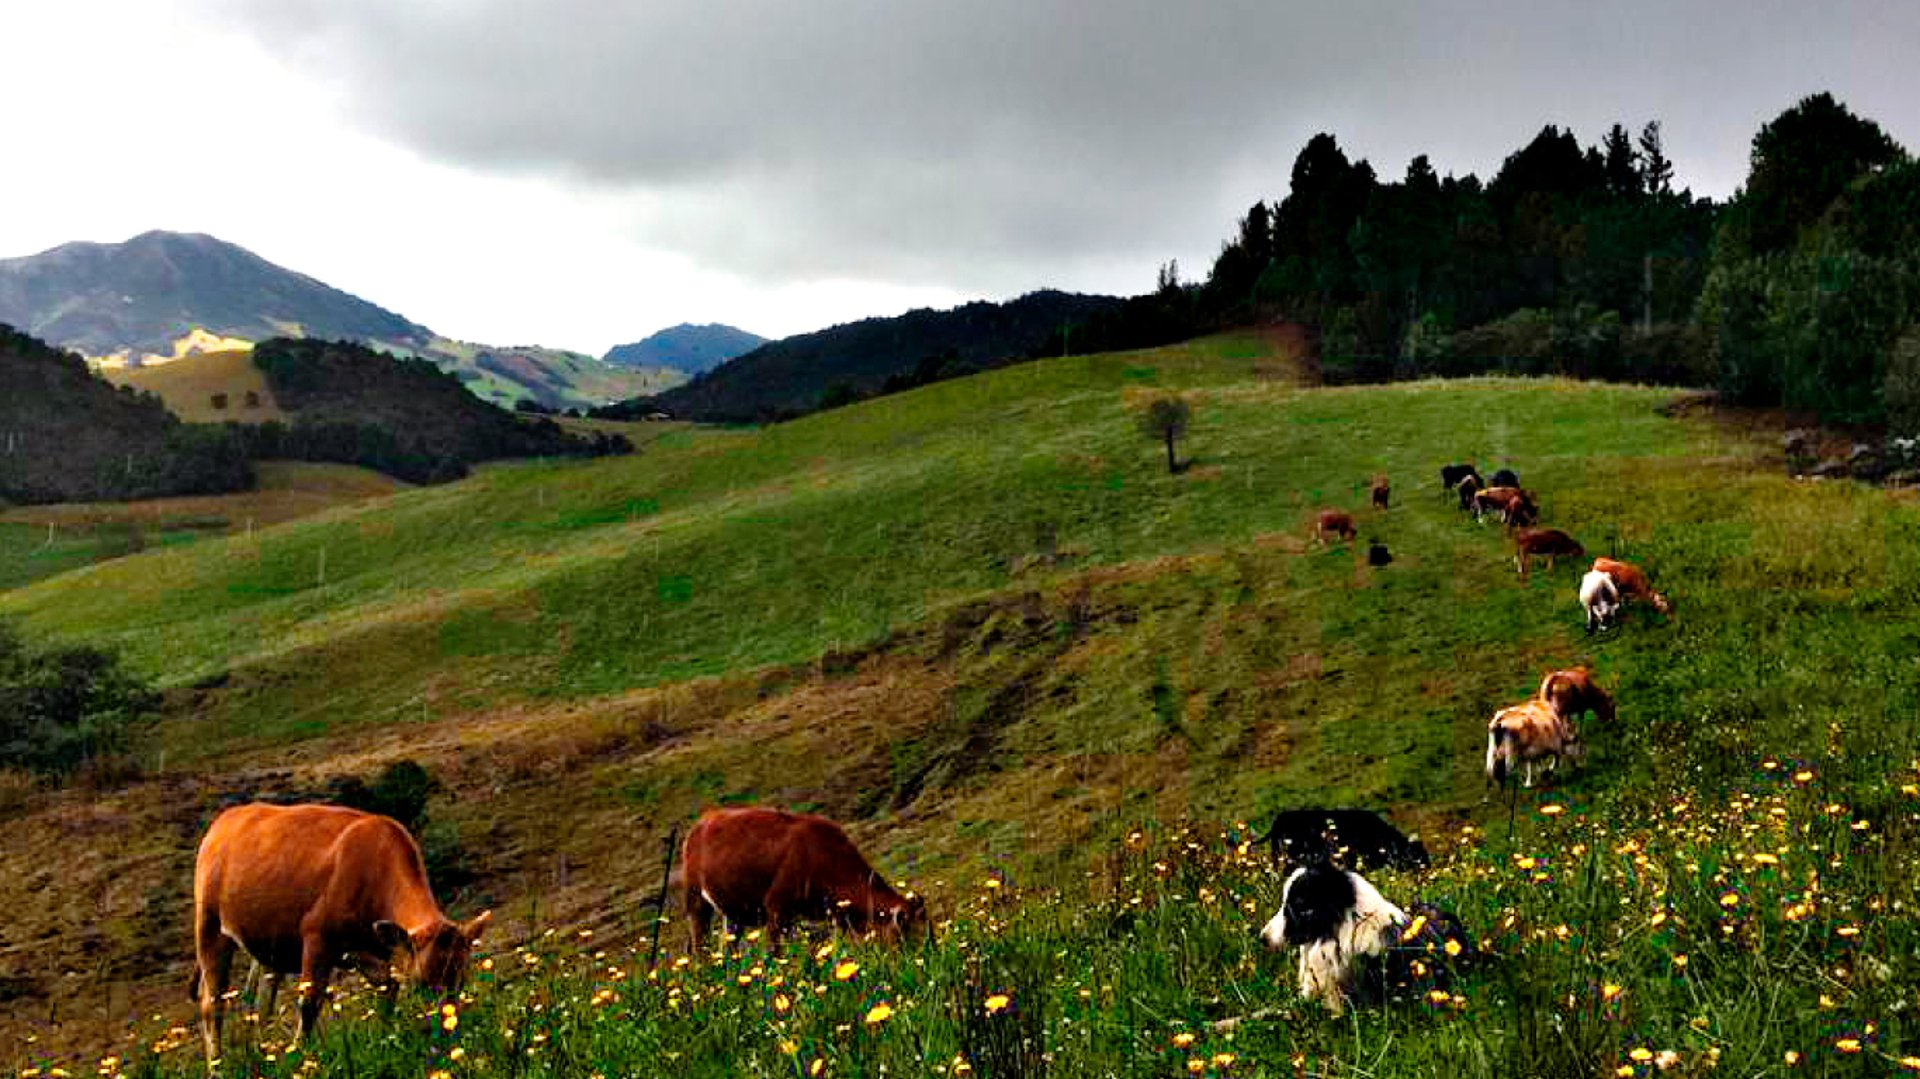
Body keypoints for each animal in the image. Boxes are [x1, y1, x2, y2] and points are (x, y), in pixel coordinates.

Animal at [192, 803, 490, 1064]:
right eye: (419, 984)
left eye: (460, 981)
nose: (444, 1032)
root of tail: (225, 819)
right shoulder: (317, 936)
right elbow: (310, 1003)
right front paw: (302, 1056)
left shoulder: (363, 949)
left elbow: (389, 988)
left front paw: (386, 1040)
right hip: (209, 924)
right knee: (212, 1005)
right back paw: (217, 1065)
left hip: (267, 944)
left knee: (260, 1003)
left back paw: (263, 1055)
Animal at [681, 807, 925, 951]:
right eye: (909, 934)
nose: (925, 958)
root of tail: (702, 822)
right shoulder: (776, 907)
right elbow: (776, 952)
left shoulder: (834, 917)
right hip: (696, 900)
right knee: (698, 944)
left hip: (733, 912)